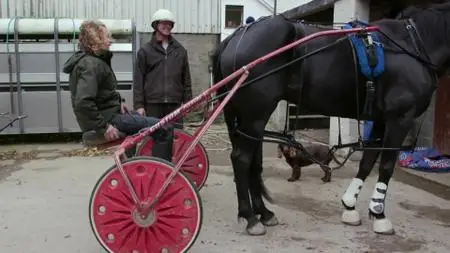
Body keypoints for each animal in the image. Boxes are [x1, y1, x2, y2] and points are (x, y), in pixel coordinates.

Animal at [213, 1, 448, 236]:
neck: (412, 43)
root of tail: (238, 35)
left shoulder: (381, 120)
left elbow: (367, 162)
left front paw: (350, 207)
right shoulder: (399, 119)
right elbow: (386, 166)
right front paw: (379, 216)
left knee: (253, 163)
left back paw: (264, 213)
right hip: (255, 115)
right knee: (242, 160)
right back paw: (251, 217)